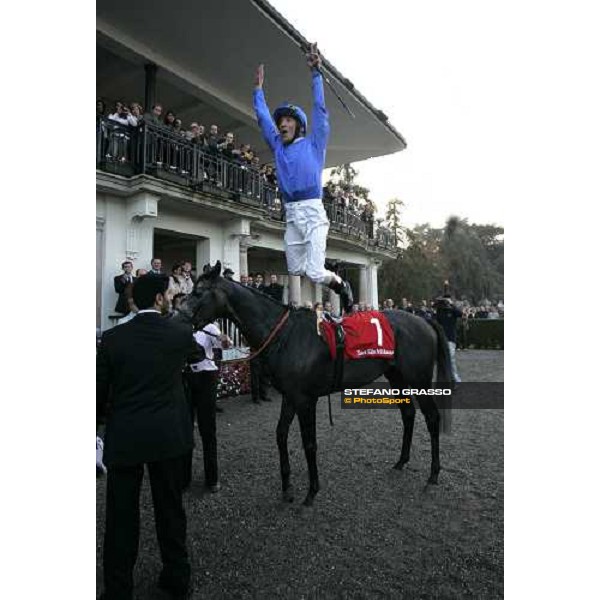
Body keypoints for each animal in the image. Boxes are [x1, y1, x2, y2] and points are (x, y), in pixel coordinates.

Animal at [180, 262, 452, 506]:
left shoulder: (305, 399)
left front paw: (311, 491)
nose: (178, 317)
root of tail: (424, 321)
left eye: (198, 292)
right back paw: (401, 461)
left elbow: (309, 443)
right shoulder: (290, 396)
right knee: (408, 414)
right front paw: (287, 487)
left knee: (432, 418)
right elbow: (280, 434)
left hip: (418, 380)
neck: (285, 334)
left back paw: (433, 474)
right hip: (397, 378)